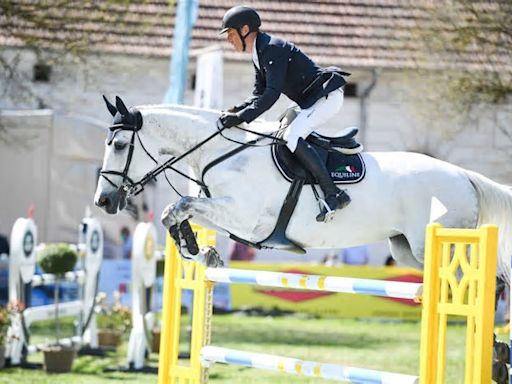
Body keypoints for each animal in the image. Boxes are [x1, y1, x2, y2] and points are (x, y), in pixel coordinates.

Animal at [94, 96, 512, 282]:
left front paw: (198, 249)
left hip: (444, 246)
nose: (104, 200)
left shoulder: (246, 218)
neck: (218, 151)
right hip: (407, 251)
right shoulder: (230, 217)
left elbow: (180, 205)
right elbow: (176, 211)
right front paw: (200, 252)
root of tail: (464, 175)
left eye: (120, 145)